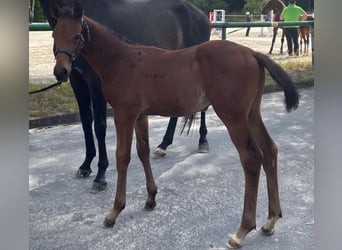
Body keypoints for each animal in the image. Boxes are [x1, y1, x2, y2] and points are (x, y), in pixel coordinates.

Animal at [40, 0, 211, 190]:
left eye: (77, 36)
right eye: (53, 35)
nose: (60, 72)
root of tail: (202, 15)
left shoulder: (96, 85)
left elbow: (99, 126)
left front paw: (100, 175)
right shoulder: (77, 83)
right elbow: (86, 122)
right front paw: (85, 165)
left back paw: (202, 141)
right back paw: (163, 145)